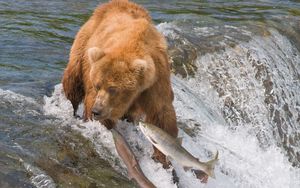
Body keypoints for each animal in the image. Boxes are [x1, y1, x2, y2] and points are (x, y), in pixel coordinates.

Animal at [61, 0, 177, 167]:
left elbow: (161, 114)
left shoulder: (156, 80)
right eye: (97, 85)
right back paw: (74, 109)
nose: (97, 111)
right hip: (84, 44)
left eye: (113, 89)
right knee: (73, 81)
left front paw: (163, 156)